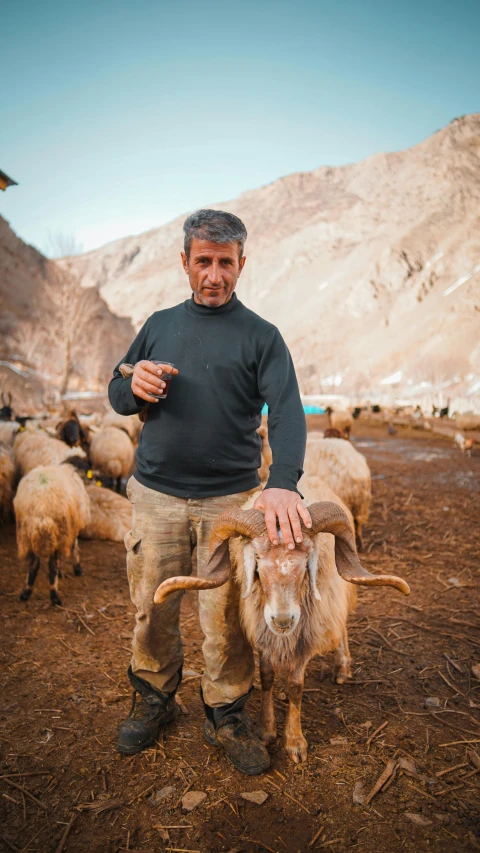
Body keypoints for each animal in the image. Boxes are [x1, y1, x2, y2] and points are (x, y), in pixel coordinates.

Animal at [13, 460, 90, 604]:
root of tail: (42, 507)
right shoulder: (72, 528)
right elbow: (74, 547)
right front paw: (77, 568)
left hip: (26, 534)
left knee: (34, 564)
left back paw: (26, 592)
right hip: (59, 533)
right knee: (52, 565)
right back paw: (54, 596)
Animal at [154, 476, 408, 764]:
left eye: (307, 558)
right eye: (256, 557)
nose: (283, 621)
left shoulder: (305, 638)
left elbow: (297, 686)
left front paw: (295, 742)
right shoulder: (265, 637)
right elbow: (266, 678)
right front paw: (266, 730)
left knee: (341, 625)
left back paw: (343, 667)